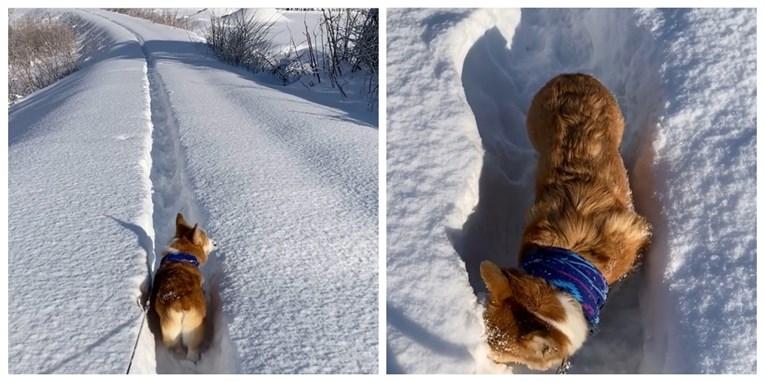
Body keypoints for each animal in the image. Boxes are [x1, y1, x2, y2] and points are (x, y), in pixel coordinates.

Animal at [151, 213, 215, 362]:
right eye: (206, 238)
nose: (215, 243)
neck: (182, 255)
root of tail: (182, 305)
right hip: (194, 333)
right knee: (192, 351)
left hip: (170, 332)